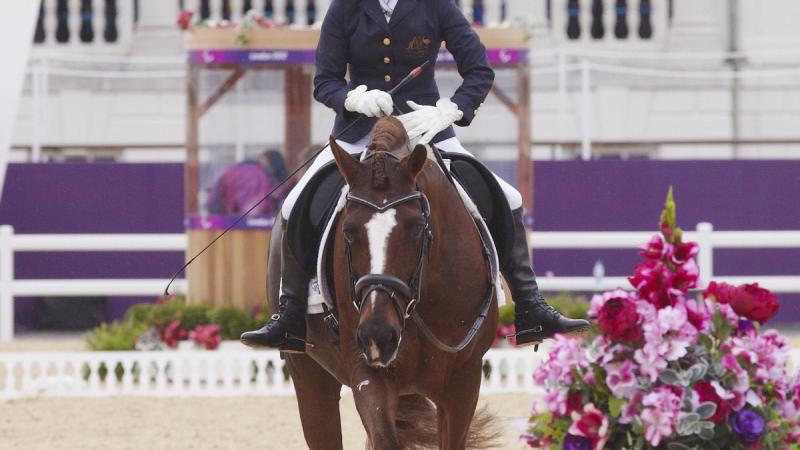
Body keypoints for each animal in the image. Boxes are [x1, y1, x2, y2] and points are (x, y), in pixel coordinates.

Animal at [268, 118, 500, 448]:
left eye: (416, 228)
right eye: (348, 231)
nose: (377, 335)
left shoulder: (463, 381)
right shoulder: (367, 372)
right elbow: (385, 438)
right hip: (307, 373)